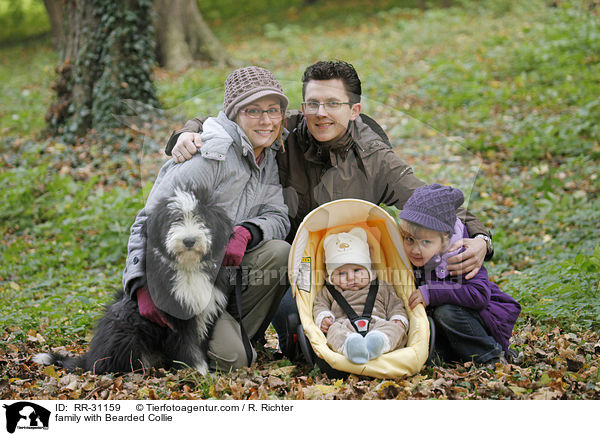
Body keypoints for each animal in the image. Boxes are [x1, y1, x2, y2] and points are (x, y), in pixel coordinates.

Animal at [33, 184, 232, 374]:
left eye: (201, 218)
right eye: (175, 219)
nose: (189, 241)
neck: (189, 267)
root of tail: (91, 358)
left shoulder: (207, 312)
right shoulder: (176, 318)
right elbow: (189, 348)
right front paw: (199, 373)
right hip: (125, 332)